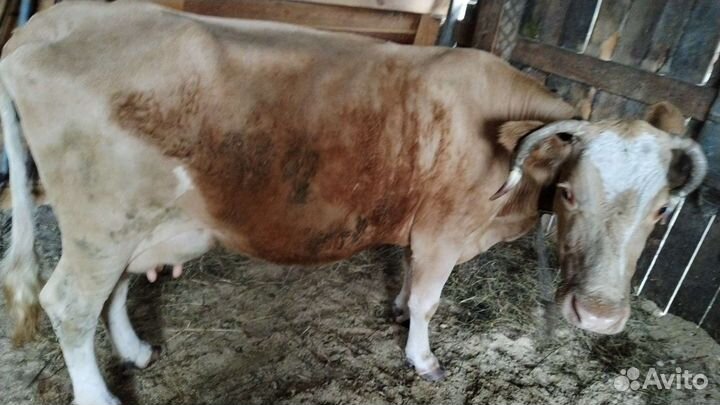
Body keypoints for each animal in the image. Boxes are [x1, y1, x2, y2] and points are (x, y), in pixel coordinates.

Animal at [0, 2, 707, 405]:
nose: (600, 317)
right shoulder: (445, 231)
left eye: (660, 211)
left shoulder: (422, 231)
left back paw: (136, 351)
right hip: (100, 221)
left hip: (132, 225)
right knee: (68, 302)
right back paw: (99, 396)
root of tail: (40, 26)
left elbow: (409, 283)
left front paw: (396, 310)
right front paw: (422, 358)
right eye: (568, 191)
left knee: (113, 291)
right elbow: (429, 301)